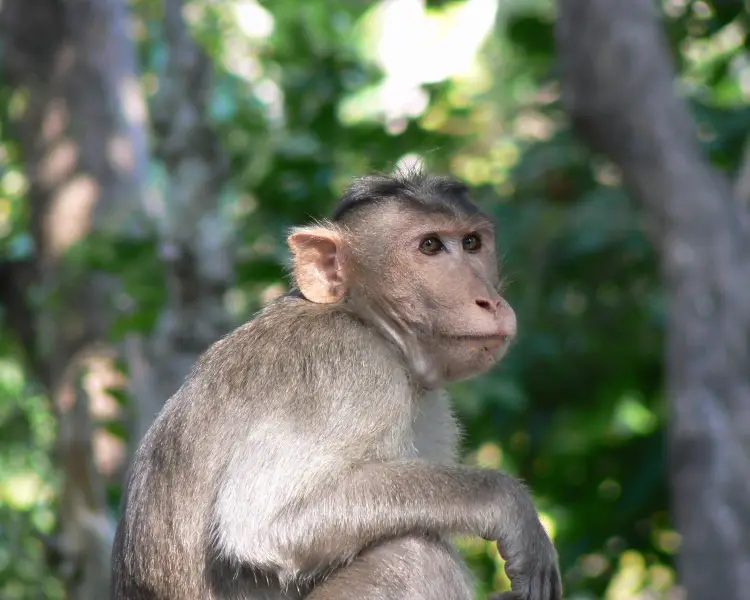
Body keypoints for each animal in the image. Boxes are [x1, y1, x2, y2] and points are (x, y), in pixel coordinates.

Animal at [111, 169, 562, 600]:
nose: (488, 301)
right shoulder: (352, 373)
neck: (363, 319)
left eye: (471, 242)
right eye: (431, 246)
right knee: (412, 555)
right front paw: (507, 504)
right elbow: (265, 522)